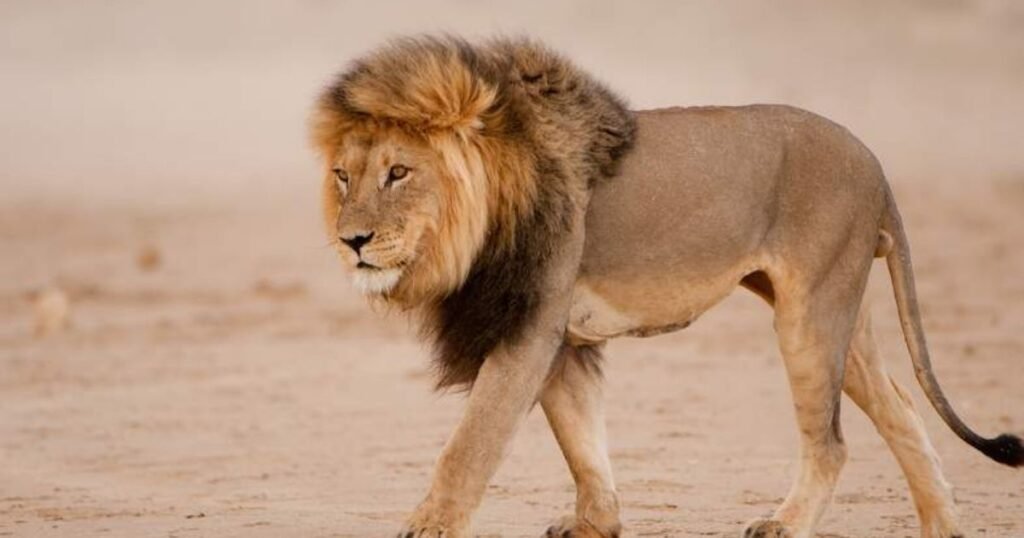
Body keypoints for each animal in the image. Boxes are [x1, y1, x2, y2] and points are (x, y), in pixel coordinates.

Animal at [310, 36, 1022, 538]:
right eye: (344, 177)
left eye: (399, 173)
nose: (353, 241)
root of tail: (875, 162)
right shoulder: (560, 337)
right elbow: (581, 441)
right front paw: (596, 523)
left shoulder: (529, 328)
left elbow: (470, 444)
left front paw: (428, 525)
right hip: (840, 311)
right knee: (901, 408)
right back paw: (942, 525)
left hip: (810, 315)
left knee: (831, 442)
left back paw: (785, 524)